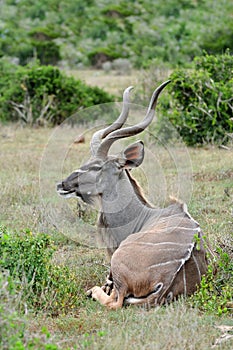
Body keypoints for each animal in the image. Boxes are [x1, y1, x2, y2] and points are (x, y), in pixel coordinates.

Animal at [57, 81, 208, 308]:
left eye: (96, 166)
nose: (63, 184)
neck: (144, 215)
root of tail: (166, 282)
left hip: (118, 268)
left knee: (114, 301)